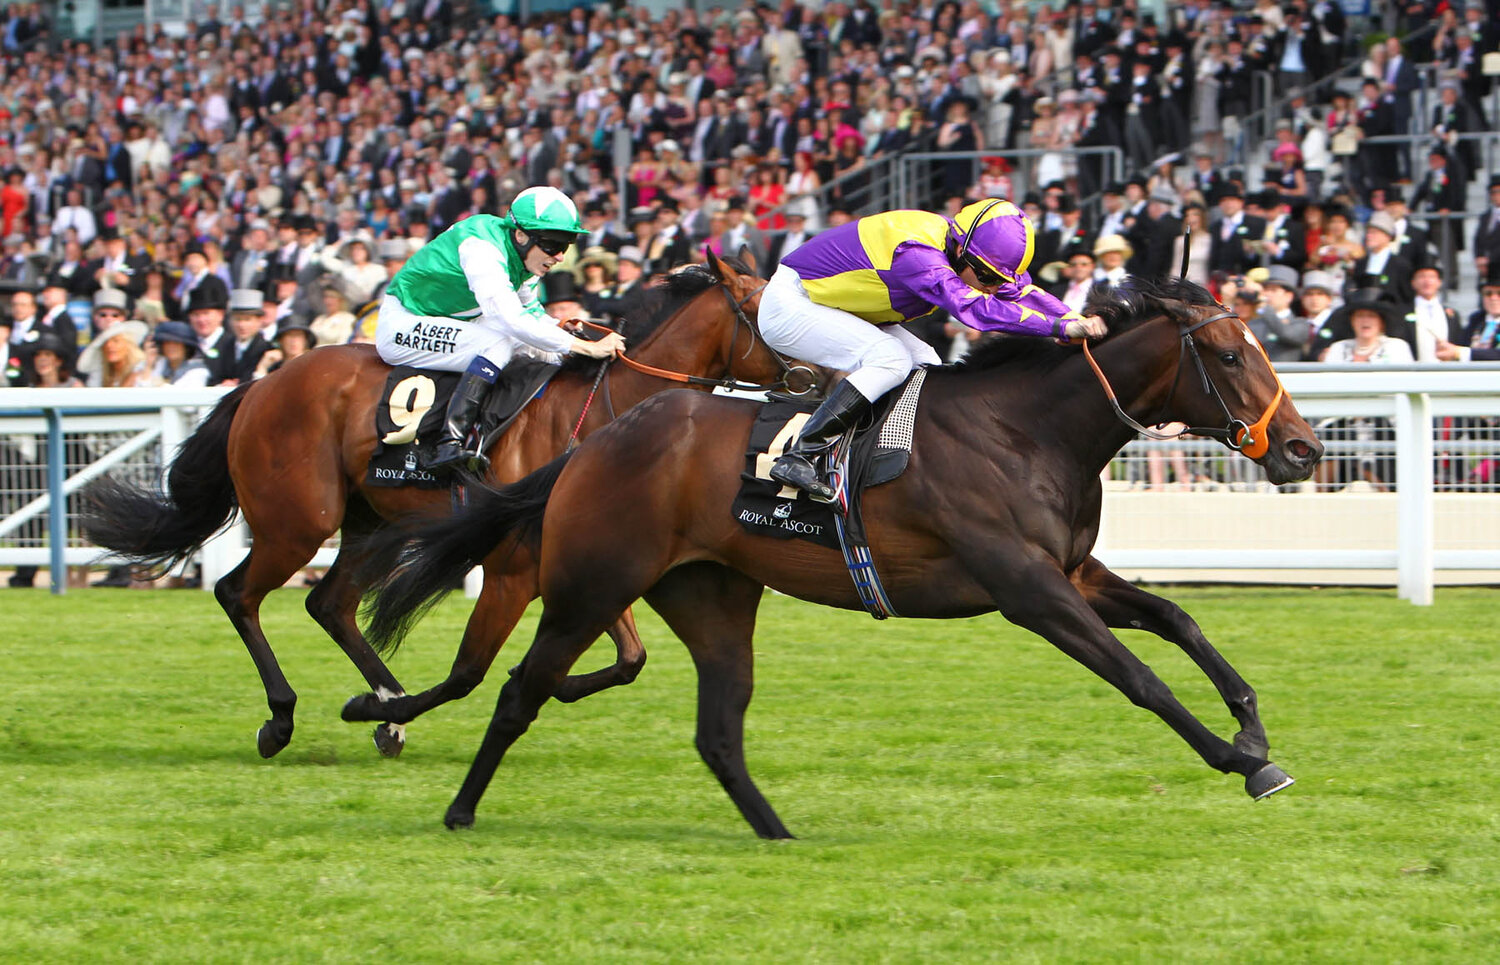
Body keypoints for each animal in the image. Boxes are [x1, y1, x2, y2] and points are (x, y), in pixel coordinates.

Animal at [85, 250, 810, 762]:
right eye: (770, 312)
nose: (825, 376)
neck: (608, 411)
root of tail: (261, 384)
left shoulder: (591, 555)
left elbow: (629, 658)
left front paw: (539, 681)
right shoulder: (516, 565)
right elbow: (470, 671)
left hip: (366, 521)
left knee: (330, 603)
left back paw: (387, 707)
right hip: (298, 523)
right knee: (238, 593)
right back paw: (285, 716)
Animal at [366, 273, 1326, 840]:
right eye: (1230, 353)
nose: (1304, 448)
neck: (1026, 429)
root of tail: (597, 441)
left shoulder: (1074, 571)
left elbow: (1178, 618)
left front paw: (1251, 726)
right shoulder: (1028, 588)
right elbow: (1140, 676)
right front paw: (1243, 762)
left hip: (712, 596)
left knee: (717, 729)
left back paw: (778, 831)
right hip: (588, 586)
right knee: (517, 690)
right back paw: (455, 803)